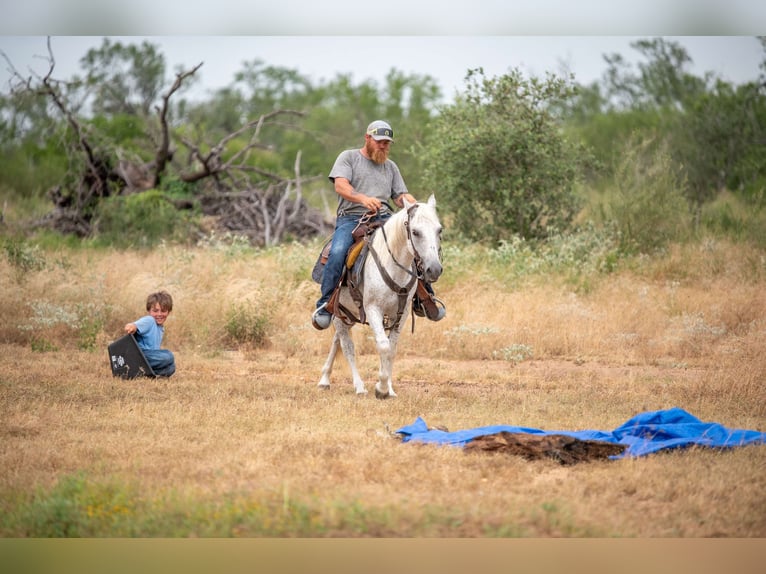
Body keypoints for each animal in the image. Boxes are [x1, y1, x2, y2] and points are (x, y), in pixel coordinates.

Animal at [317, 194, 443, 398]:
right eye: (415, 232)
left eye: (439, 230)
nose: (434, 269)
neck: (393, 266)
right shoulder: (372, 309)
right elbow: (383, 345)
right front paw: (381, 388)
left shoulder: (400, 314)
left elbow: (391, 349)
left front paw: (389, 389)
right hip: (337, 313)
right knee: (347, 346)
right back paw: (358, 386)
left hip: (349, 314)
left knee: (337, 341)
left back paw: (325, 379)